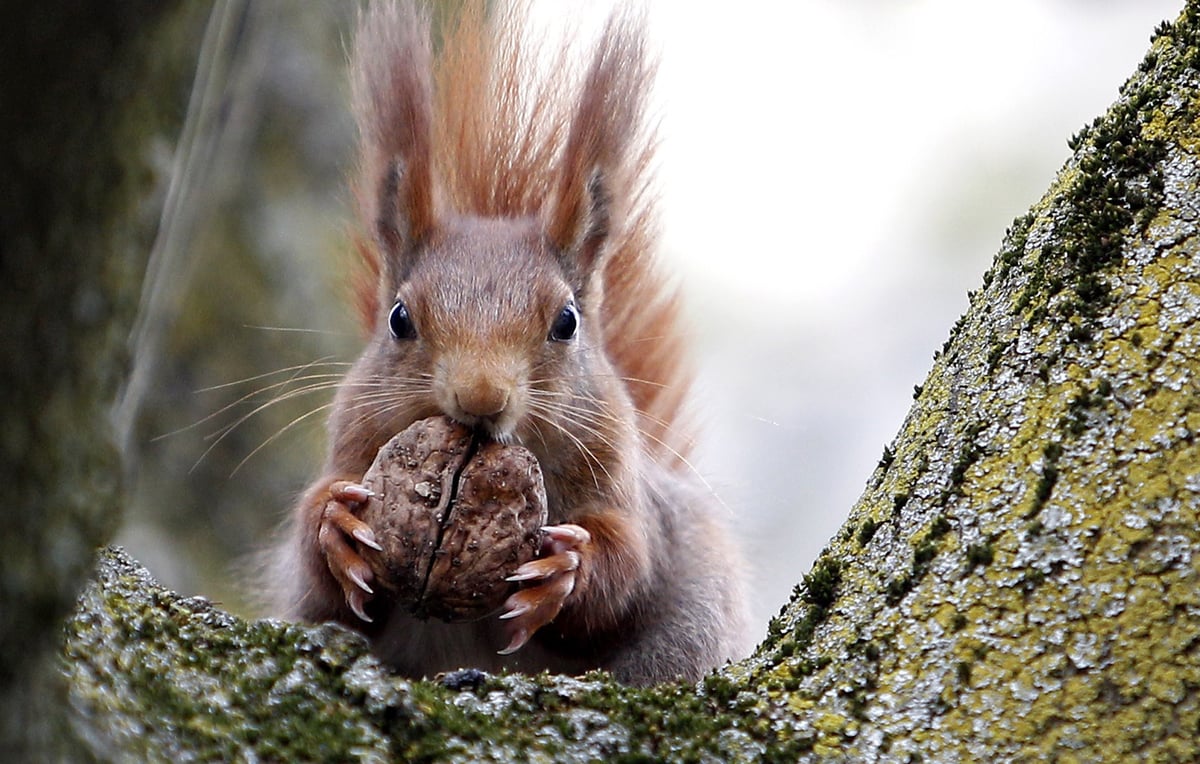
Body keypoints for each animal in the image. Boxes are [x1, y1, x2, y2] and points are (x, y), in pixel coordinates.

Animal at [268, 0, 750, 686]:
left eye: (567, 321)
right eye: (399, 319)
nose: (480, 397)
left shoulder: (626, 492)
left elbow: (627, 567)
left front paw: (565, 572)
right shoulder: (353, 445)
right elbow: (319, 580)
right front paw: (335, 524)